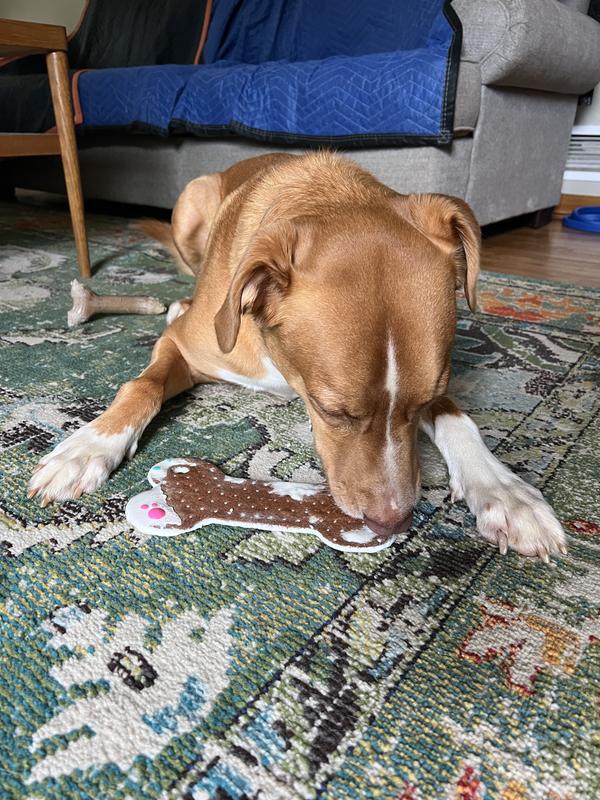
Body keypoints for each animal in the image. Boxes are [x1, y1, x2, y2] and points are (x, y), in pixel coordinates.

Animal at [28, 152, 567, 559]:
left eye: (423, 403)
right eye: (334, 412)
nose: (393, 522)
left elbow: (459, 418)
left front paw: (504, 491)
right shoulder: (184, 346)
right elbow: (143, 384)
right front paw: (88, 447)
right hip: (191, 204)